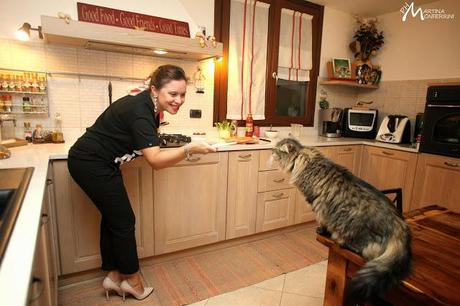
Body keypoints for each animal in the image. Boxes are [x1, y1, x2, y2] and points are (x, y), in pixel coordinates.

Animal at [272, 138, 412, 302]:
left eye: (277, 149)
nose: (271, 150)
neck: (303, 156)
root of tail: (400, 226)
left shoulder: (318, 205)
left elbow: (322, 221)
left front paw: (321, 231)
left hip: (352, 226)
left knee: (364, 250)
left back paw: (342, 242)